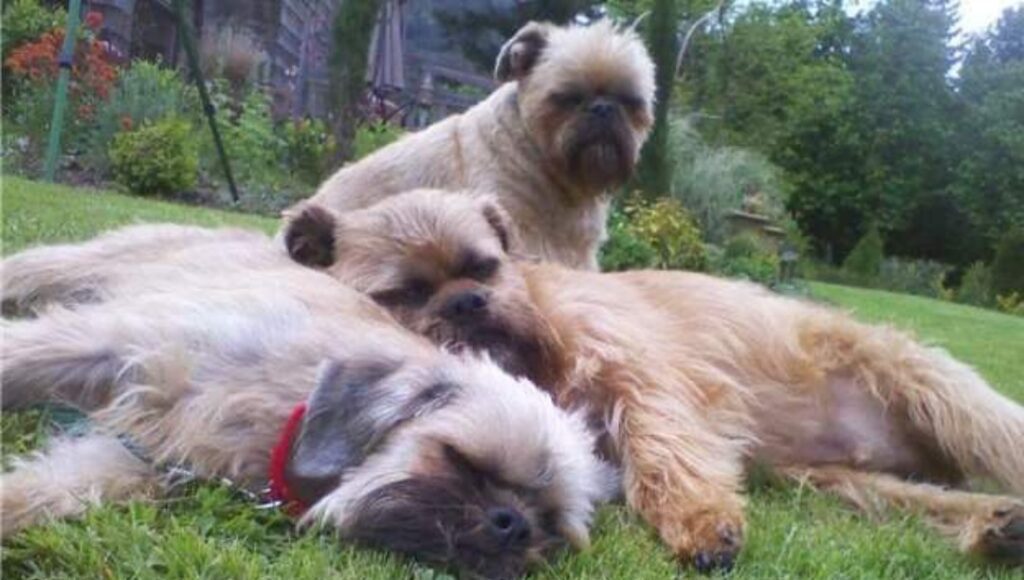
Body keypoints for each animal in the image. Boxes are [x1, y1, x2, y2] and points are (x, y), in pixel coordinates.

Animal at [0, 224, 614, 580]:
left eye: (550, 524)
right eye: (459, 459)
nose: (514, 525)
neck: (287, 407)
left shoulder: (140, 455)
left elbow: (50, 487)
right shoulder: (108, 343)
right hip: (76, 266)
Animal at [284, 191, 1024, 573]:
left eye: (485, 267)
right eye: (405, 294)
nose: (468, 303)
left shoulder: (641, 377)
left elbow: (662, 448)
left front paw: (700, 522)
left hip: (943, 397)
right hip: (845, 487)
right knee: (928, 501)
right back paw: (994, 527)